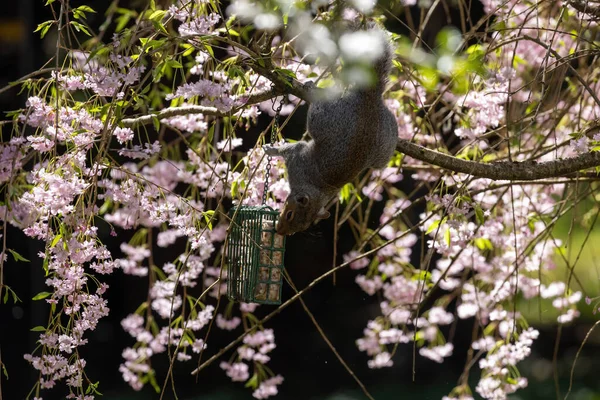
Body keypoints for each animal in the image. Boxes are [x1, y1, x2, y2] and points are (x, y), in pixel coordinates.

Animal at [264, 22, 398, 234]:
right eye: (289, 214)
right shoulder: (298, 159)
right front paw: (271, 149)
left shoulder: (298, 161)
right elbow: (291, 148)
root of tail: (369, 100)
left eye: (298, 226)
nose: (280, 231)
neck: (319, 190)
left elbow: (291, 148)